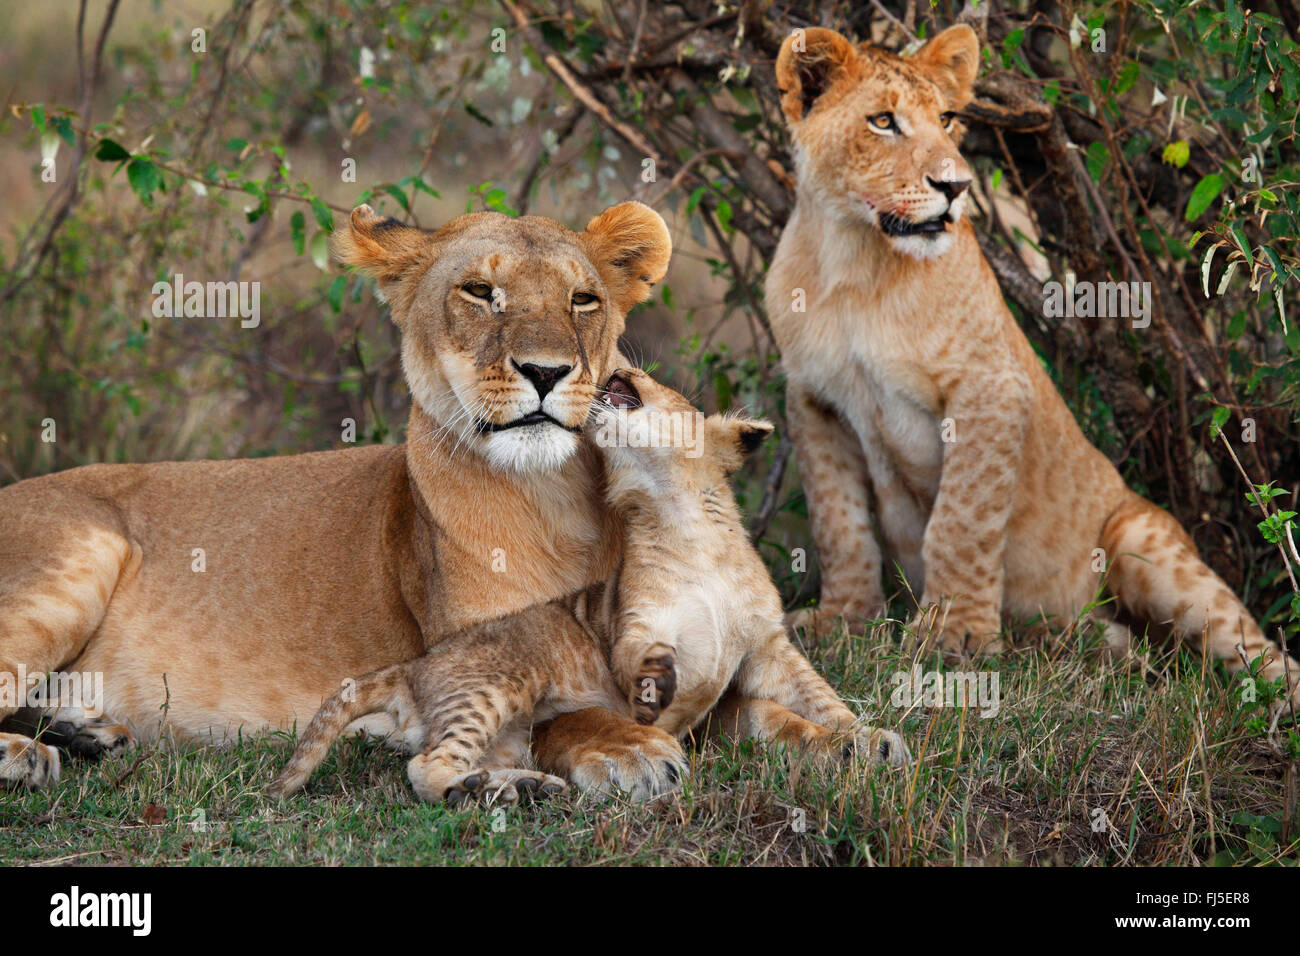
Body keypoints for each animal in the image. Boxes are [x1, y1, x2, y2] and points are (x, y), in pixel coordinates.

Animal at [0, 201, 693, 792]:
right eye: (478, 291)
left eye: (583, 299)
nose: (547, 372)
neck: (553, 501)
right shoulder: (475, 652)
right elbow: (559, 713)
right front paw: (630, 750)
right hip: (78, 560)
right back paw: (30, 755)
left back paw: (87, 733)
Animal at [269, 368, 906, 805]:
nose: (614, 368)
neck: (689, 531)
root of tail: (413, 668)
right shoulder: (631, 623)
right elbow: (634, 659)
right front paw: (655, 684)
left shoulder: (766, 648)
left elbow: (817, 698)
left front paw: (865, 739)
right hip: (499, 684)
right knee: (426, 767)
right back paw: (491, 791)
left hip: (508, 729)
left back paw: (514, 784)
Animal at [766, 24, 1300, 706]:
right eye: (883, 121)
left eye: (947, 118)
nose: (956, 187)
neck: (852, 260)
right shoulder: (815, 400)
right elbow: (839, 523)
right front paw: (844, 621)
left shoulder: (991, 386)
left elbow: (962, 519)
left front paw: (956, 637)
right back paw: (1093, 646)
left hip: (1147, 547)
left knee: (1258, 653)